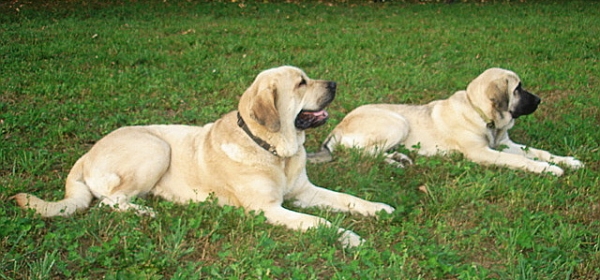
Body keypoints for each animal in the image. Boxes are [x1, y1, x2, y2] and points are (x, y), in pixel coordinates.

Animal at [12, 65, 394, 247]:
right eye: (301, 83)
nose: (334, 84)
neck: (273, 151)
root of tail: (86, 154)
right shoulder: (269, 209)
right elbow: (319, 222)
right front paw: (348, 237)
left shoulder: (304, 192)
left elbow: (346, 199)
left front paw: (379, 209)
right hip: (156, 147)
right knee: (110, 201)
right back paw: (145, 210)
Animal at [312, 67, 584, 175]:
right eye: (518, 89)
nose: (539, 100)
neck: (480, 113)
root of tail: (336, 129)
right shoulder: (482, 152)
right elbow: (520, 160)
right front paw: (548, 169)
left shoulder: (505, 144)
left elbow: (538, 151)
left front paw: (568, 161)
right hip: (397, 121)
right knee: (363, 153)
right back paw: (395, 161)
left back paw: (398, 157)